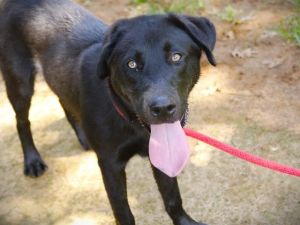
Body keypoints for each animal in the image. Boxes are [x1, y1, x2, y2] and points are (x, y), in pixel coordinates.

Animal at [0, 0, 216, 225]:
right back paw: (32, 161)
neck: (132, 123)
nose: (162, 108)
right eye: (131, 64)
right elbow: (123, 211)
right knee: (22, 121)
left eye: (176, 56)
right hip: (19, 83)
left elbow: (172, 196)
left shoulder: (161, 153)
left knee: (64, 102)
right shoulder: (110, 165)